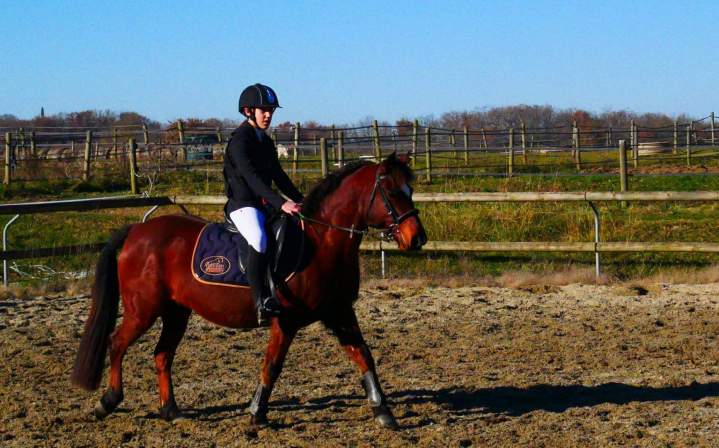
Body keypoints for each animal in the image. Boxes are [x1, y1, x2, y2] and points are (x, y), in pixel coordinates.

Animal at [70, 152, 427, 429]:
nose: (417, 239)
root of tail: (138, 230)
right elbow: (272, 365)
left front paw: (384, 412)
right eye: (392, 192)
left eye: (409, 190)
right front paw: (257, 412)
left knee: (162, 354)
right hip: (143, 310)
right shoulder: (286, 321)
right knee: (117, 343)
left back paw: (170, 410)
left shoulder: (339, 312)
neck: (321, 241)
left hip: (176, 312)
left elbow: (364, 355)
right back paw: (108, 401)